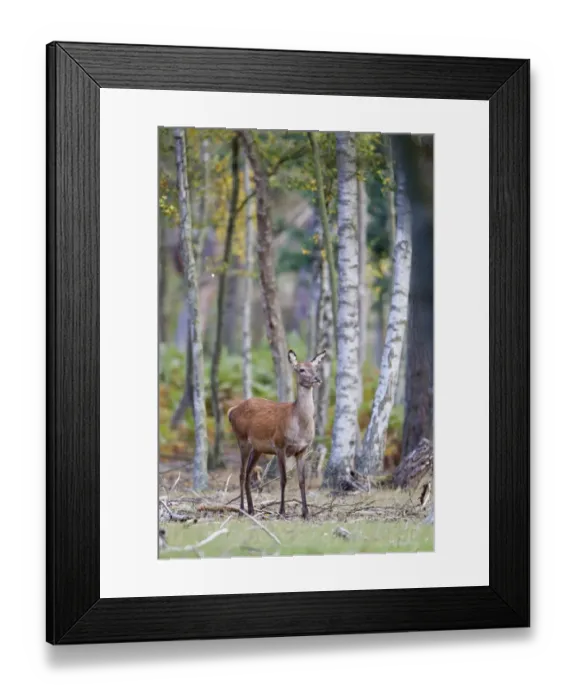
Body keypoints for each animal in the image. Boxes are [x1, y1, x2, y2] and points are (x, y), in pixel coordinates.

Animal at [227, 349, 326, 520]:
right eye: (301, 369)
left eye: (315, 368)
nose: (317, 379)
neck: (299, 426)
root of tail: (231, 411)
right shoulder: (280, 445)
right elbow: (283, 479)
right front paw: (282, 511)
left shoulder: (303, 449)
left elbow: (302, 480)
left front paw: (306, 513)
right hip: (242, 439)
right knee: (241, 474)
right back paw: (241, 509)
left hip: (257, 448)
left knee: (248, 473)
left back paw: (251, 509)